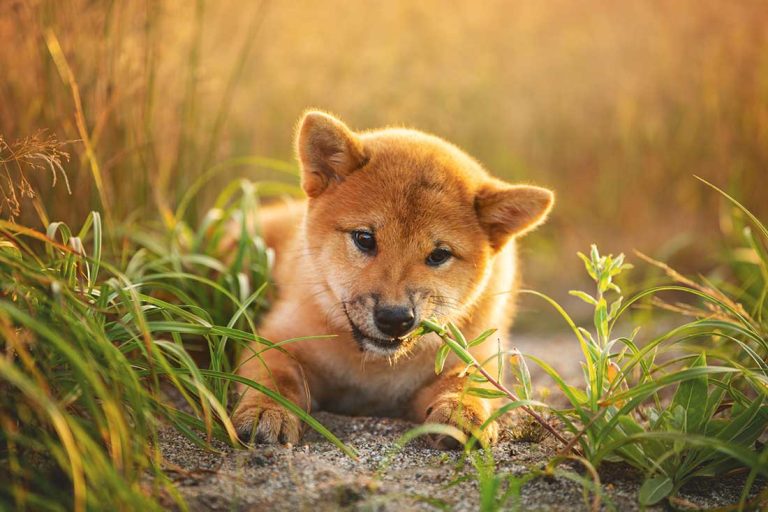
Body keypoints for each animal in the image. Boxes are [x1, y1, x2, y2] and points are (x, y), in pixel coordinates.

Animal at [231, 111, 556, 448]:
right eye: (364, 238)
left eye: (439, 255)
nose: (394, 318)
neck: (373, 371)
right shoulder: (278, 338)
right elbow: (275, 378)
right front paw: (266, 410)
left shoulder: (473, 356)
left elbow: (466, 382)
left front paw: (463, 413)